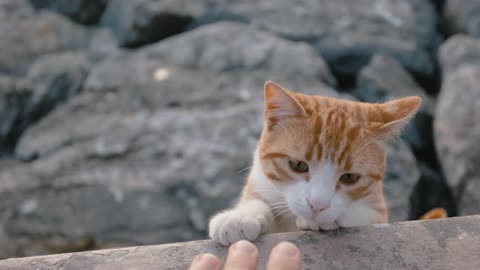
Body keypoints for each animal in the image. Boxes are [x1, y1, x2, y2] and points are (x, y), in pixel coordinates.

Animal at [208, 81, 422, 246]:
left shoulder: (378, 210)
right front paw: (238, 218)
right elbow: (257, 201)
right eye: (297, 165)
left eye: (350, 177)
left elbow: (362, 214)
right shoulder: (259, 181)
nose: (317, 205)